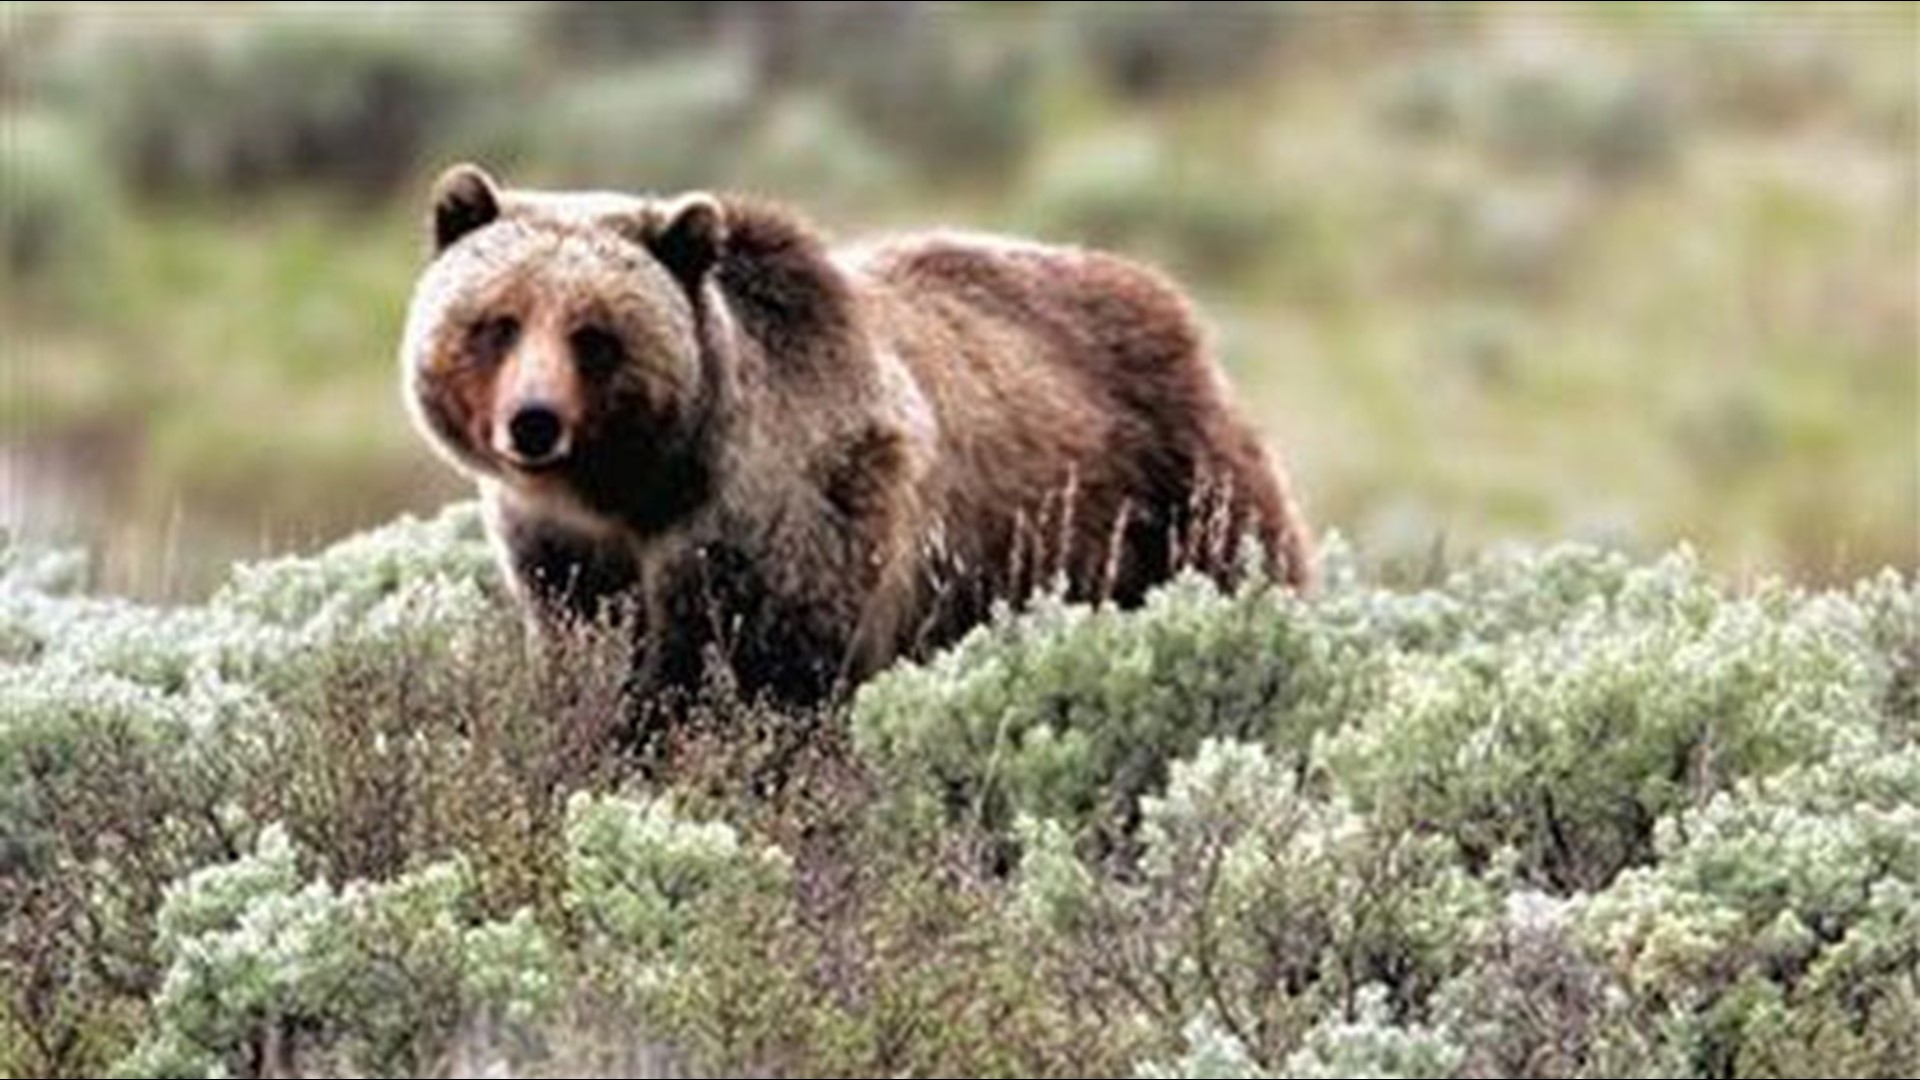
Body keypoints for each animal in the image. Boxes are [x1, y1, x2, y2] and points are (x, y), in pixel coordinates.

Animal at [399, 159, 1313, 699]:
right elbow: (594, 652)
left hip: (1171, 496)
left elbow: (761, 673)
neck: (640, 488)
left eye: (594, 334)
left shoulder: (789, 511)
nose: (534, 423)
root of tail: (1170, 299)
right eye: (499, 322)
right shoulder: (566, 554)